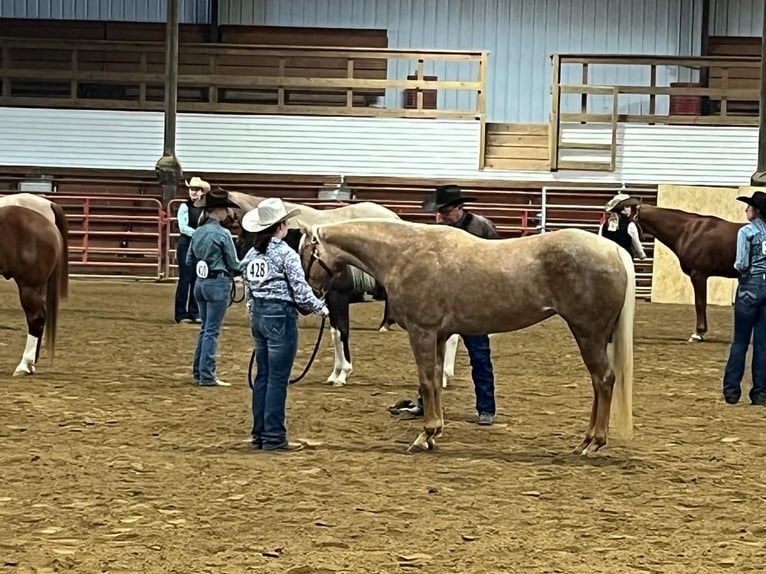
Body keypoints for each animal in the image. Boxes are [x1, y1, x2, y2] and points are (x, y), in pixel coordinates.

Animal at [298, 219, 636, 454]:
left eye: (305, 253)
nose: (309, 297)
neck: (405, 254)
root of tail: (613, 250)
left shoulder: (422, 332)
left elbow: (426, 381)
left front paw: (424, 435)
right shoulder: (437, 335)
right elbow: (435, 381)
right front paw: (433, 434)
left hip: (588, 332)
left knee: (604, 380)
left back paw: (593, 443)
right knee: (599, 382)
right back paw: (586, 440)